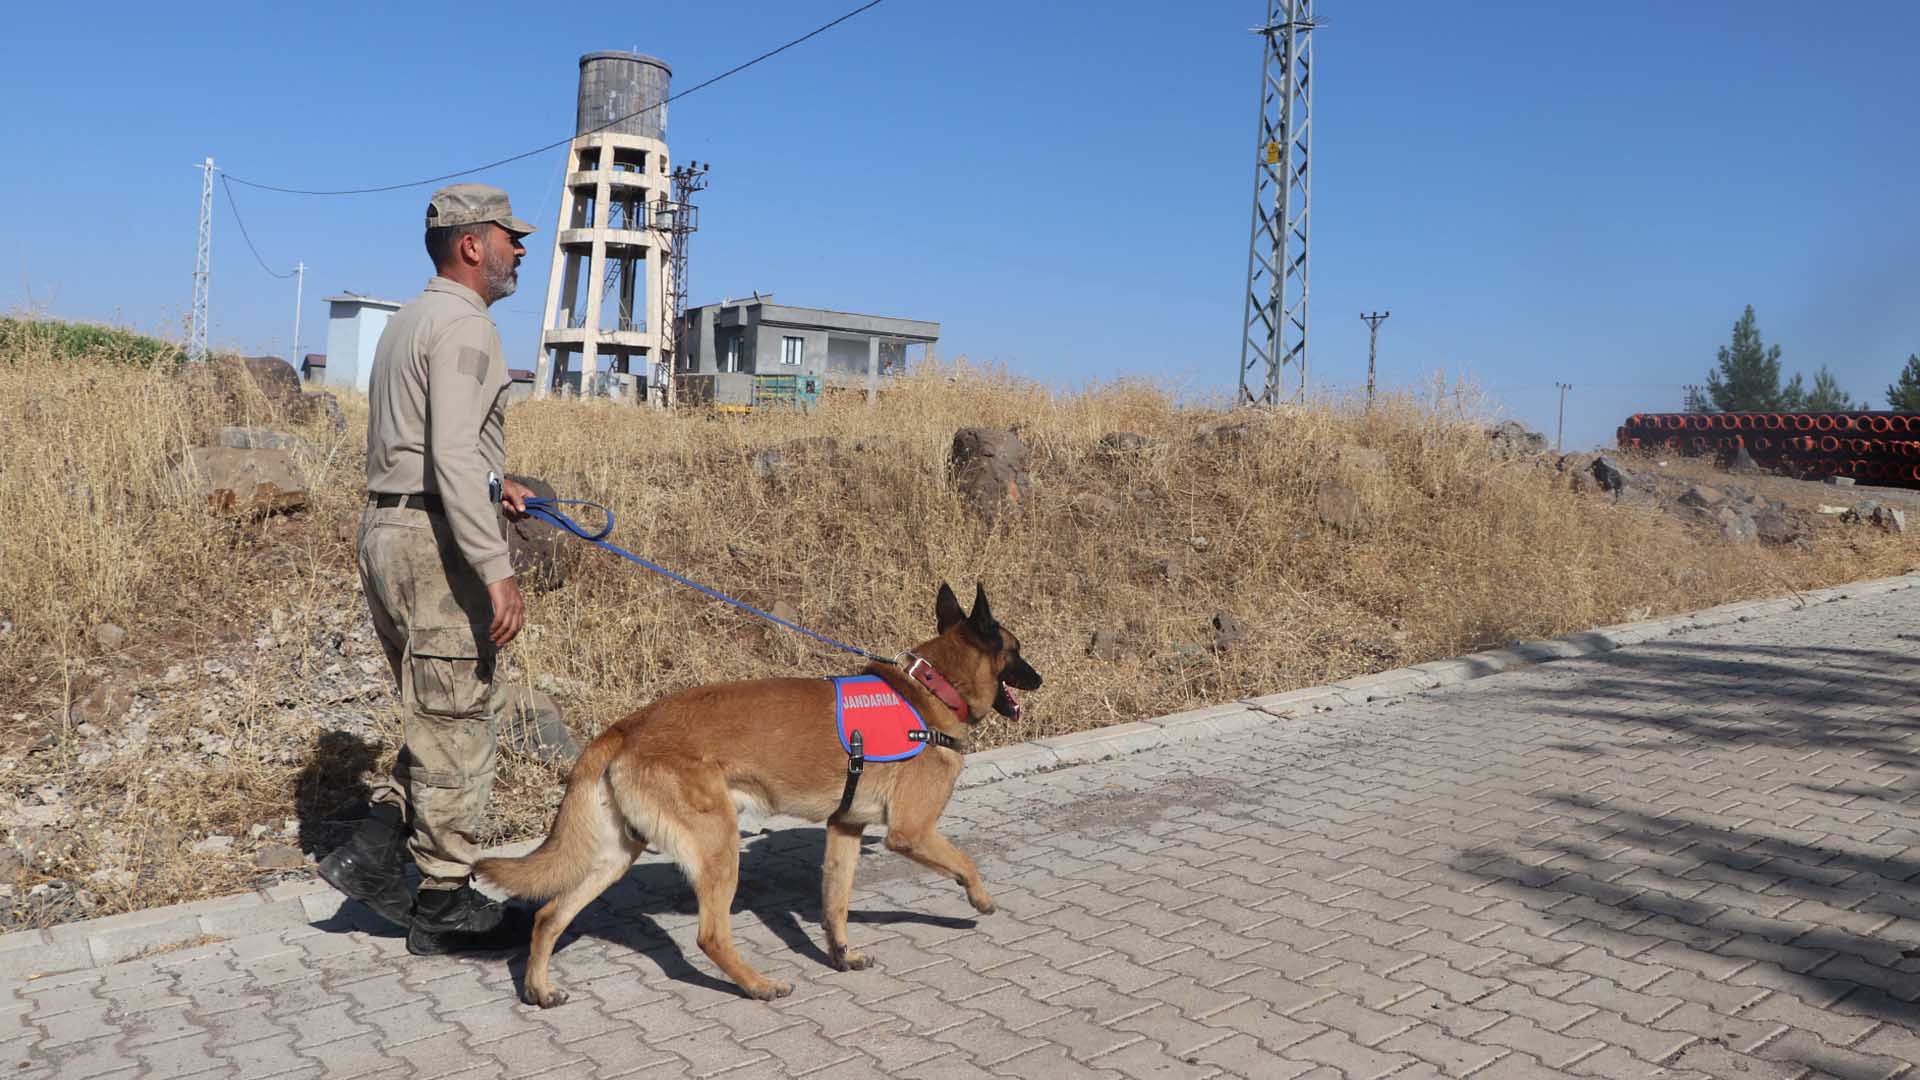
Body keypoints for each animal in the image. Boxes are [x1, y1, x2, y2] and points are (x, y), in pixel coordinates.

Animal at [480, 580, 1052, 999]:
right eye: (1018, 651)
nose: (1040, 679)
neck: (932, 690)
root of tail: (628, 726)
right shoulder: (910, 832)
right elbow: (966, 861)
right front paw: (980, 899)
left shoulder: (844, 830)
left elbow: (835, 904)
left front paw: (842, 955)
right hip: (718, 846)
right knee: (710, 935)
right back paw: (757, 986)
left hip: (615, 856)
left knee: (550, 915)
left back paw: (538, 988)